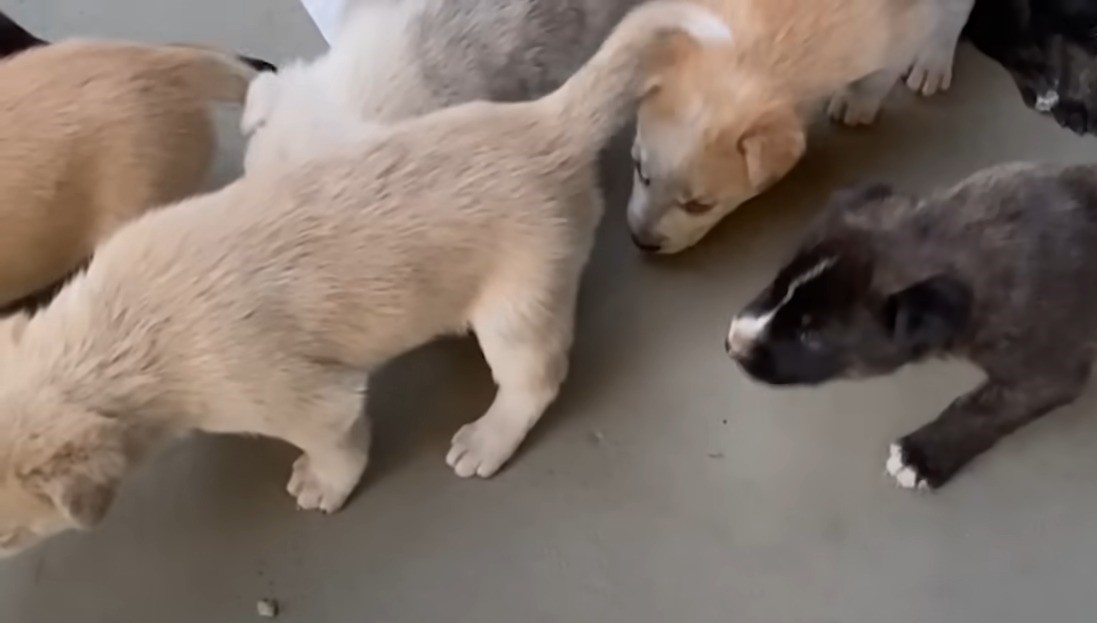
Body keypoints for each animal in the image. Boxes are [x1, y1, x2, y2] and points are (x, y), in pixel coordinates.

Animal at [631, 0, 974, 254]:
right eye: (639, 169)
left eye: (699, 206)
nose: (640, 241)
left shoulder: (899, 34)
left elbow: (877, 78)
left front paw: (855, 103)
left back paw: (933, 60)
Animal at [724, 162, 1097, 491]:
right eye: (777, 285)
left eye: (812, 335)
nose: (732, 344)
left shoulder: (1043, 372)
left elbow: (981, 409)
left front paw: (919, 457)